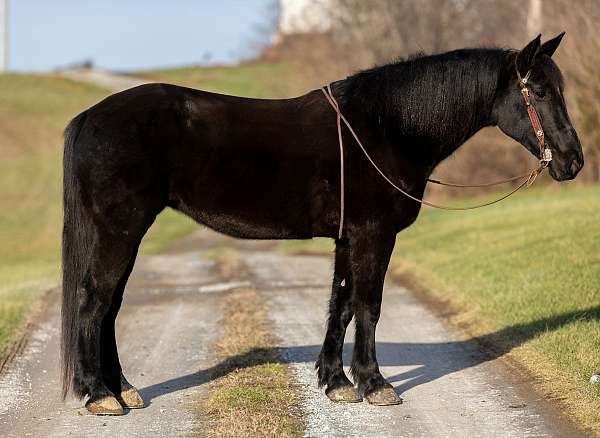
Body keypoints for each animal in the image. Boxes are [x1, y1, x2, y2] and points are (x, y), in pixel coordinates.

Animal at [63, 35, 584, 414]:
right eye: (539, 91)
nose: (573, 161)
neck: (388, 127)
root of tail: (89, 117)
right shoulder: (374, 234)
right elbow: (369, 306)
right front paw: (375, 384)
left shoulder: (347, 238)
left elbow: (342, 304)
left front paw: (336, 382)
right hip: (120, 231)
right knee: (94, 303)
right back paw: (100, 395)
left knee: (109, 308)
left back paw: (123, 390)